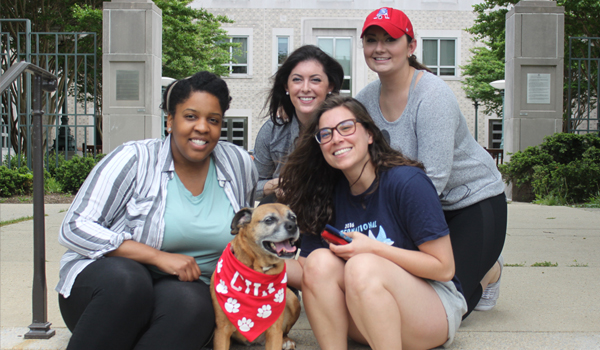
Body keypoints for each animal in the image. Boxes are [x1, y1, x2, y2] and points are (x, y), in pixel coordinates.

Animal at [211, 204, 302, 348]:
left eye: (293, 217)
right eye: (269, 220)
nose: (293, 226)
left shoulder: (274, 330)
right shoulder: (222, 330)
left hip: (292, 299)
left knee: (285, 332)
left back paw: (286, 341)